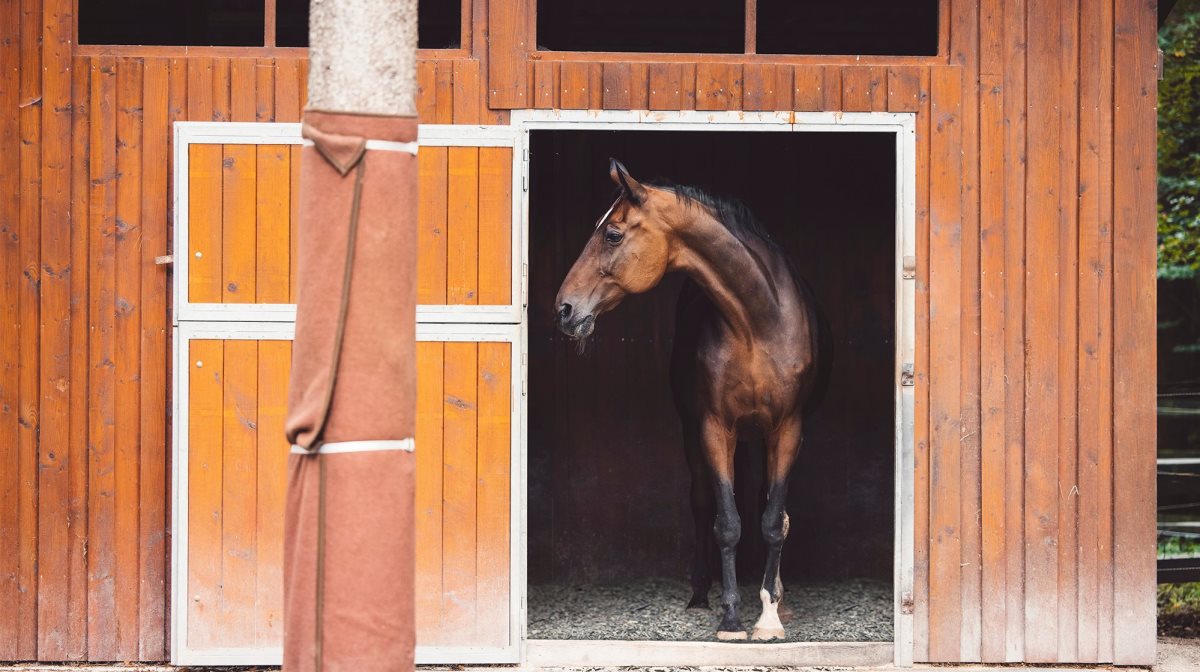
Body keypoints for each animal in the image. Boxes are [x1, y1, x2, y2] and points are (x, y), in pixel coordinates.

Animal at [554, 156, 830, 638]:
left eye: (612, 234)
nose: (564, 309)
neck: (759, 321)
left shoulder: (788, 429)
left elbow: (773, 521)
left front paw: (769, 618)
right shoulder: (714, 428)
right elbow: (726, 522)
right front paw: (732, 618)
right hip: (696, 433)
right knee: (703, 504)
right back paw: (703, 593)